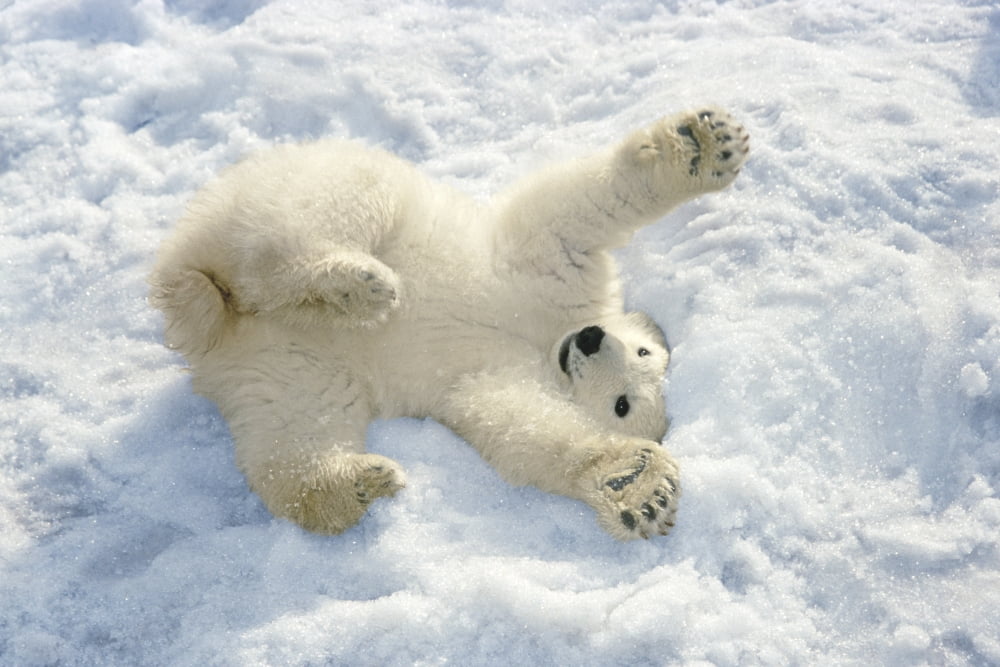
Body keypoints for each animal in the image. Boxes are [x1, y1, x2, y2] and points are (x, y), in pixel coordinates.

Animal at [149, 107, 749, 540]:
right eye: (642, 352)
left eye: (625, 403)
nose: (591, 338)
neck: (542, 338)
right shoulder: (550, 269)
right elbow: (576, 211)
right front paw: (701, 146)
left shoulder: (494, 377)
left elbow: (527, 431)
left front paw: (636, 485)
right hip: (296, 190)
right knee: (330, 211)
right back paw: (358, 286)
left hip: (286, 363)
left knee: (294, 429)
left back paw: (358, 482)